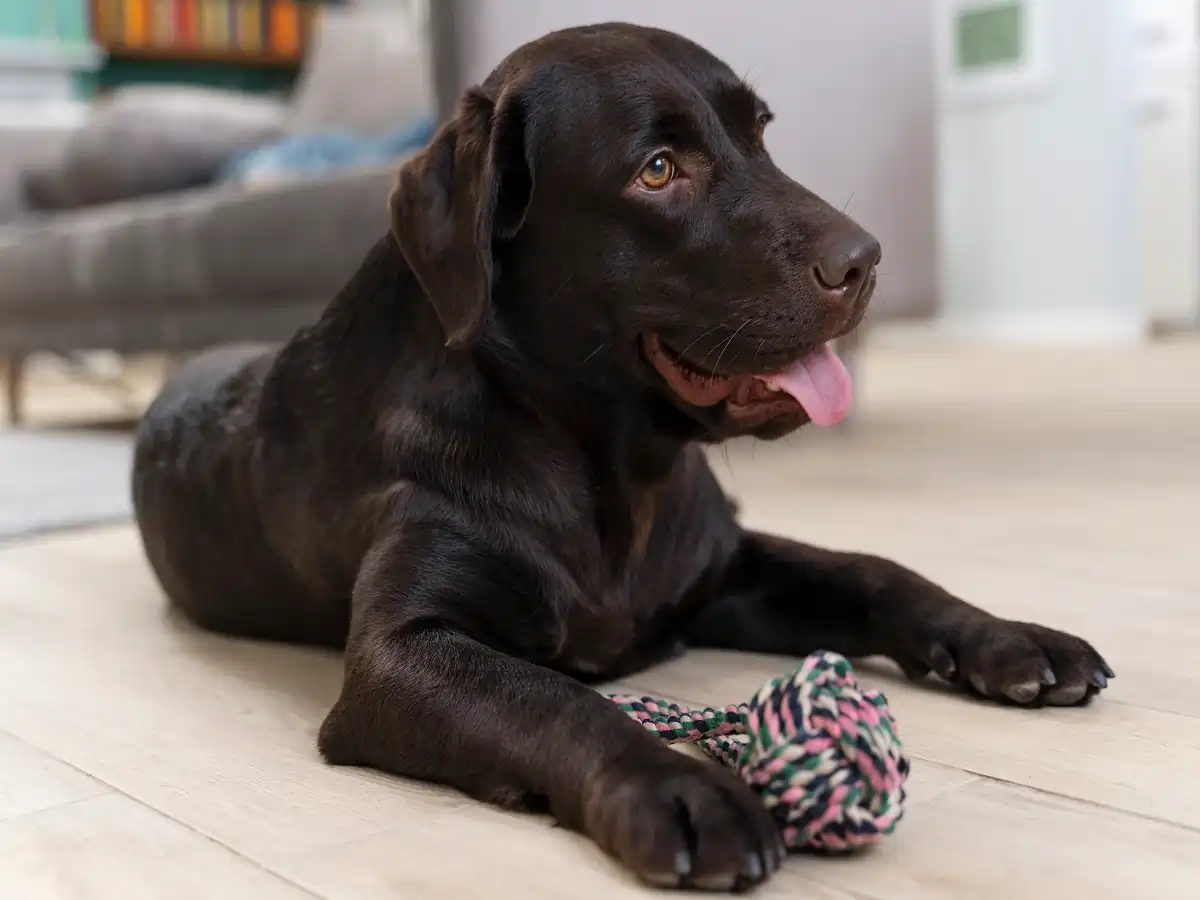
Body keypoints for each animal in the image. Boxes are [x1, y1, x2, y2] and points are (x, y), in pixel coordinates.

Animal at [133, 22, 1113, 897]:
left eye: (762, 133)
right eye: (658, 170)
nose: (866, 259)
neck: (608, 468)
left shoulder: (723, 568)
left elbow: (875, 572)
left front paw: (1007, 637)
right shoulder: (400, 653)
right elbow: (552, 698)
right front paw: (679, 790)